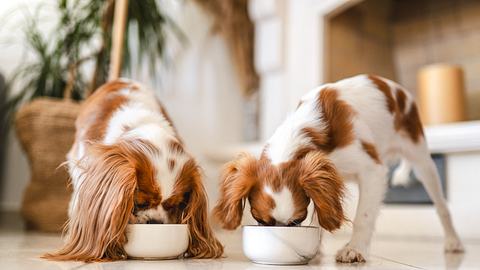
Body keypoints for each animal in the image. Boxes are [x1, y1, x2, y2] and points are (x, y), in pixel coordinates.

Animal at [212, 74, 464, 262]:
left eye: (297, 221)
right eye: (261, 221)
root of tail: (400, 91)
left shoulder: (372, 170)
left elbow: (363, 216)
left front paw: (355, 249)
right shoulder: (324, 177)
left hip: (421, 159)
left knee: (442, 207)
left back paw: (453, 241)